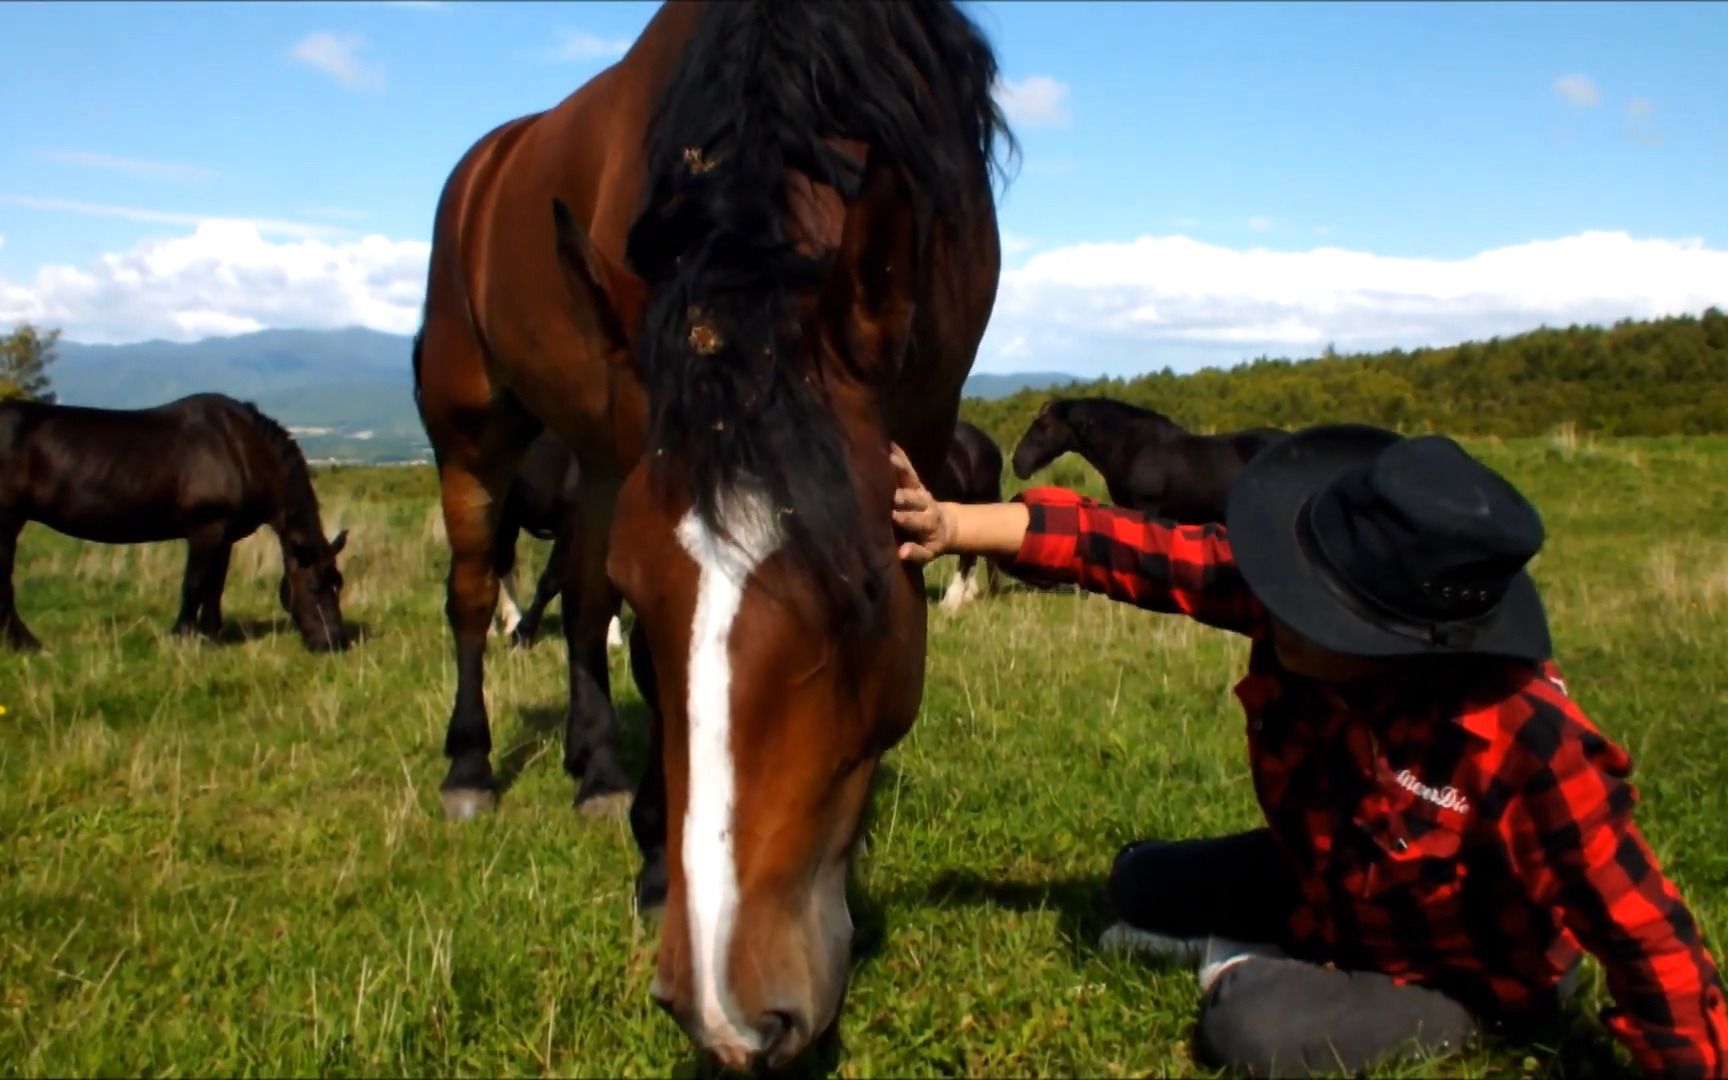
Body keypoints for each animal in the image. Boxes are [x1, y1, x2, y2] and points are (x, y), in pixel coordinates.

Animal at [0, 393, 350, 653]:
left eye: (338, 582)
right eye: (315, 585)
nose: (334, 642)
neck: (240, 449)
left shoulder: (224, 536)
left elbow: (215, 586)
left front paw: (211, 636)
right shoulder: (205, 530)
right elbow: (194, 585)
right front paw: (181, 637)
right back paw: (26, 644)